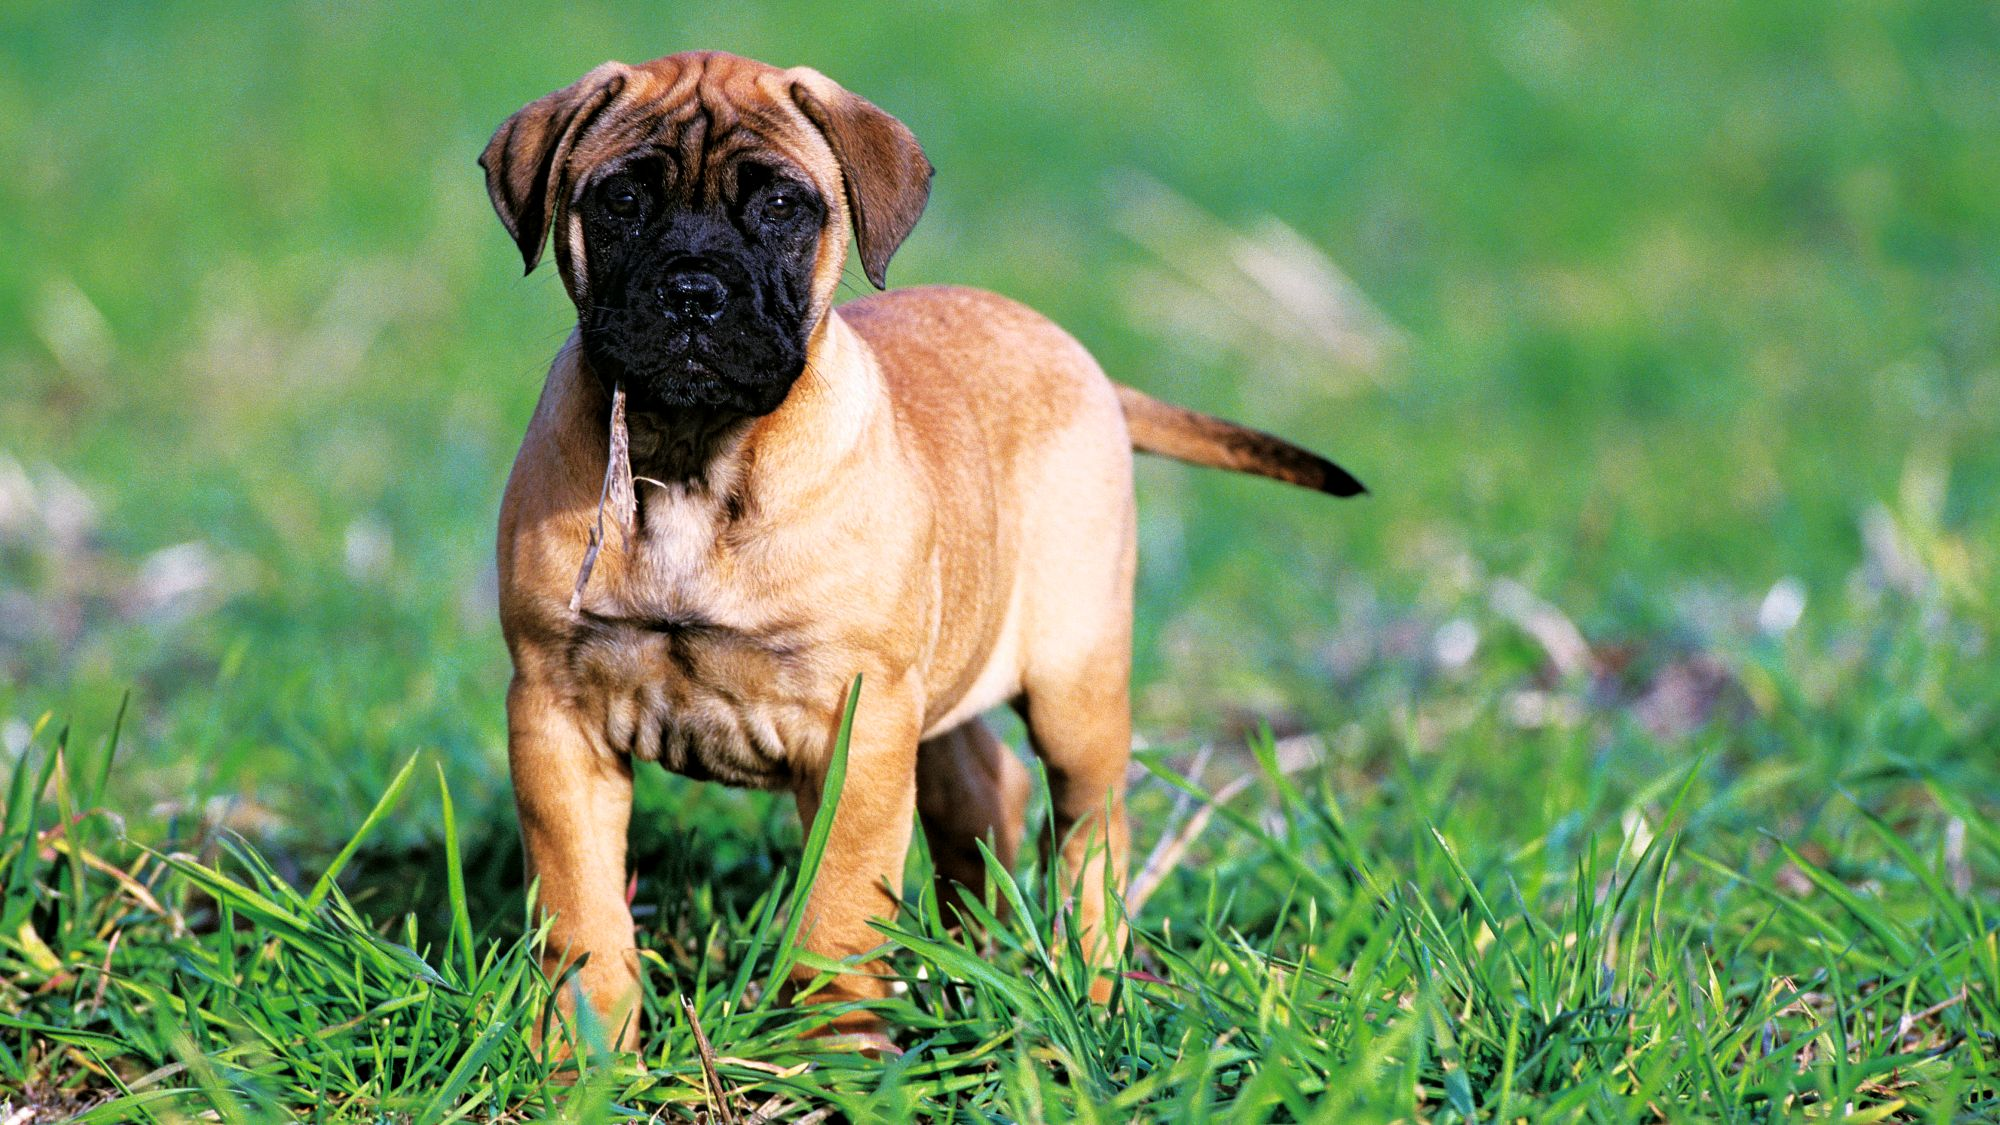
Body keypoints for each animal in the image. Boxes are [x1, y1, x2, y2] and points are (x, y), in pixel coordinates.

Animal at [478, 50, 1368, 1048]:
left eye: (781, 205)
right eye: (622, 200)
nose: (693, 292)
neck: (693, 458)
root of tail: (1089, 366)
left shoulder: (857, 726)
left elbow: (834, 914)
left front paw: (829, 1056)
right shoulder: (556, 718)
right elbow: (583, 913)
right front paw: (585, 1056)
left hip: (1074, 687)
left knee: (1091, 832)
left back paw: (1091, 984)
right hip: (943, 686)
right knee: (986, 791)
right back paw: (975, 965)